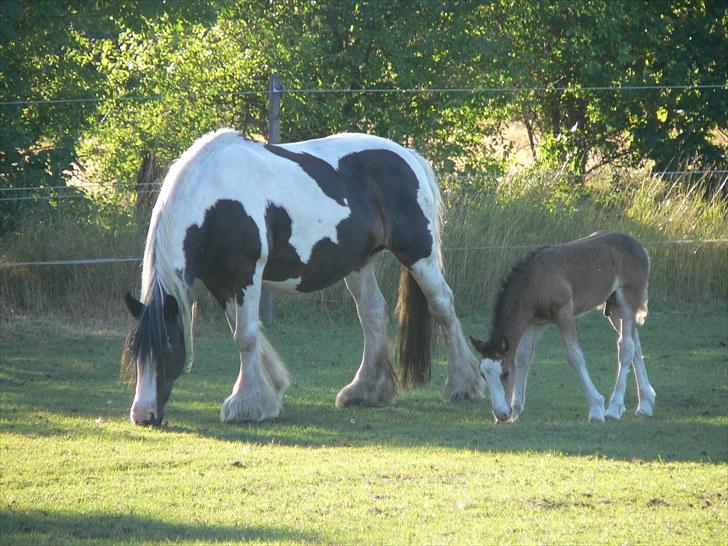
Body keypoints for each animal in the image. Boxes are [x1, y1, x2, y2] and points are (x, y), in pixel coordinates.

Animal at [121, 130, 484, 422]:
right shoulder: (220, 283)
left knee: (442, 306)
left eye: (168, 349)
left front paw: (247, 404)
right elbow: (245, 330)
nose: (144, 415)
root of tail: (408, 156)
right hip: (360, 264)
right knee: (372, 314)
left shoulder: (245, 275)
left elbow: (245, 336)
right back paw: (365, 391)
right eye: (135, 353)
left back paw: (463, 386)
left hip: (419, 255)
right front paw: (271, 386)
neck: (215, 199)